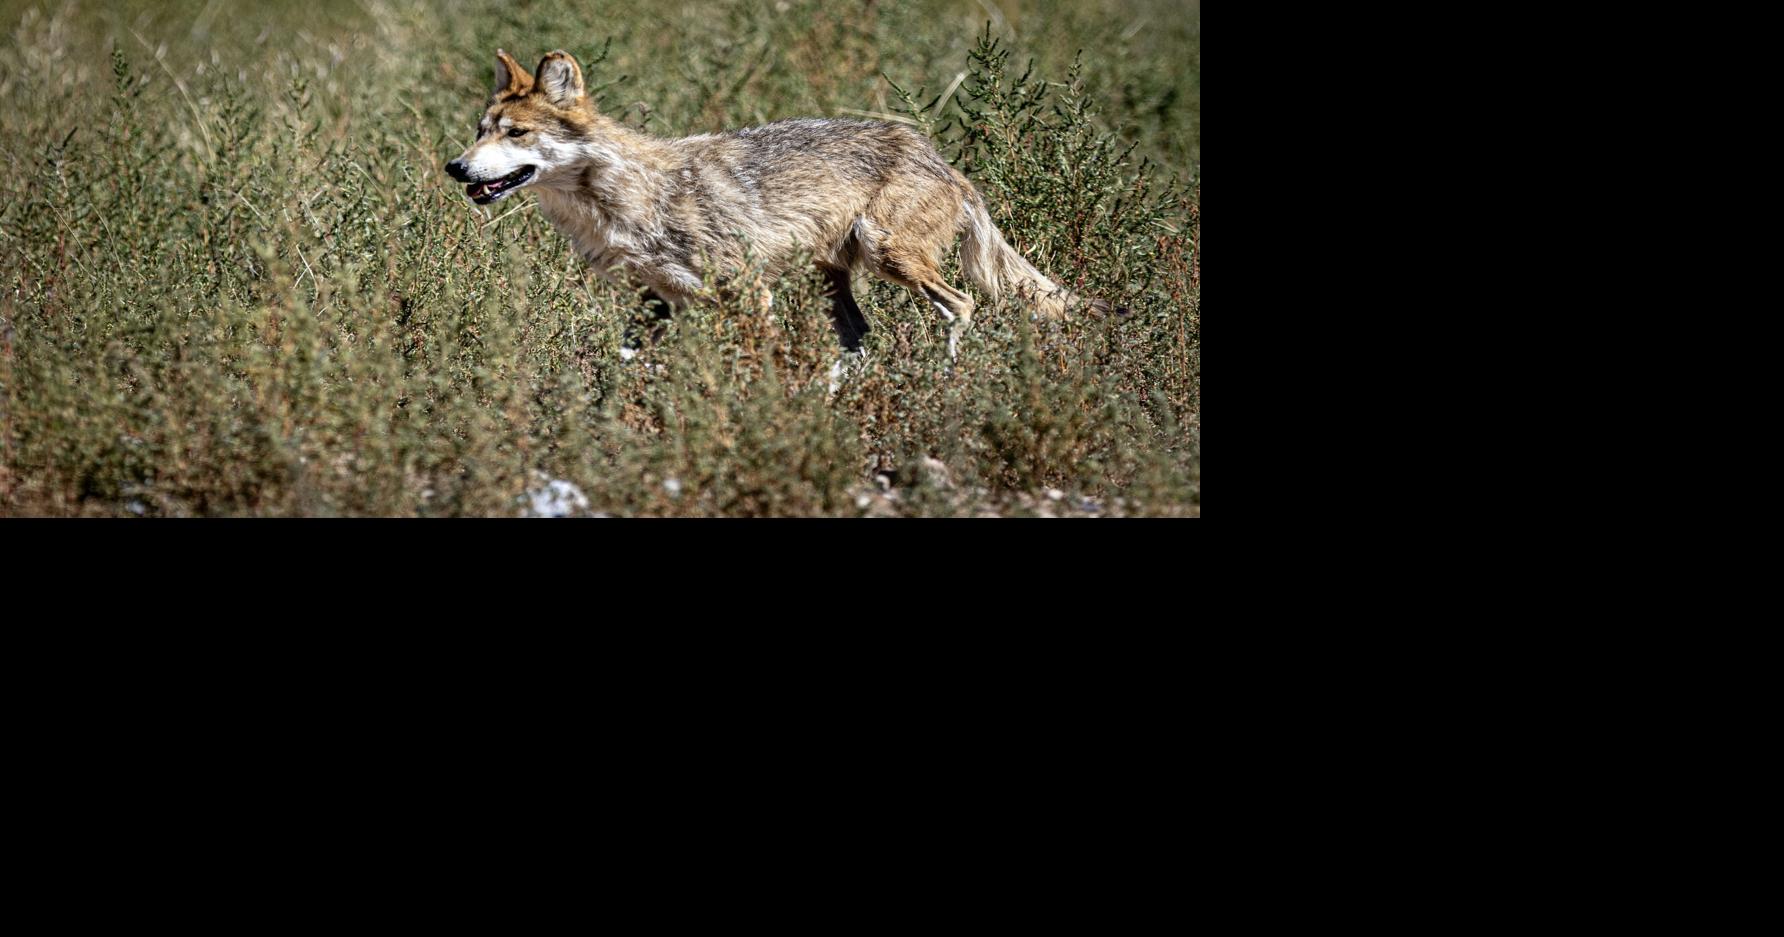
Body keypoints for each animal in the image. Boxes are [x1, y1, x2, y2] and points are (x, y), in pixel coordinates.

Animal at [445, 49, 1103, 358]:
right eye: (480, 131)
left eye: (516, 134)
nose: (455, 168)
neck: (626, 200)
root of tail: (942, 160)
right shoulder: (656, 304)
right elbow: (629, 364)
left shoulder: (746, 292)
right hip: (832, 278)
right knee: (858, 337)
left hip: (890, 257)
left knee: (961, 305)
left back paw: (946, 383)